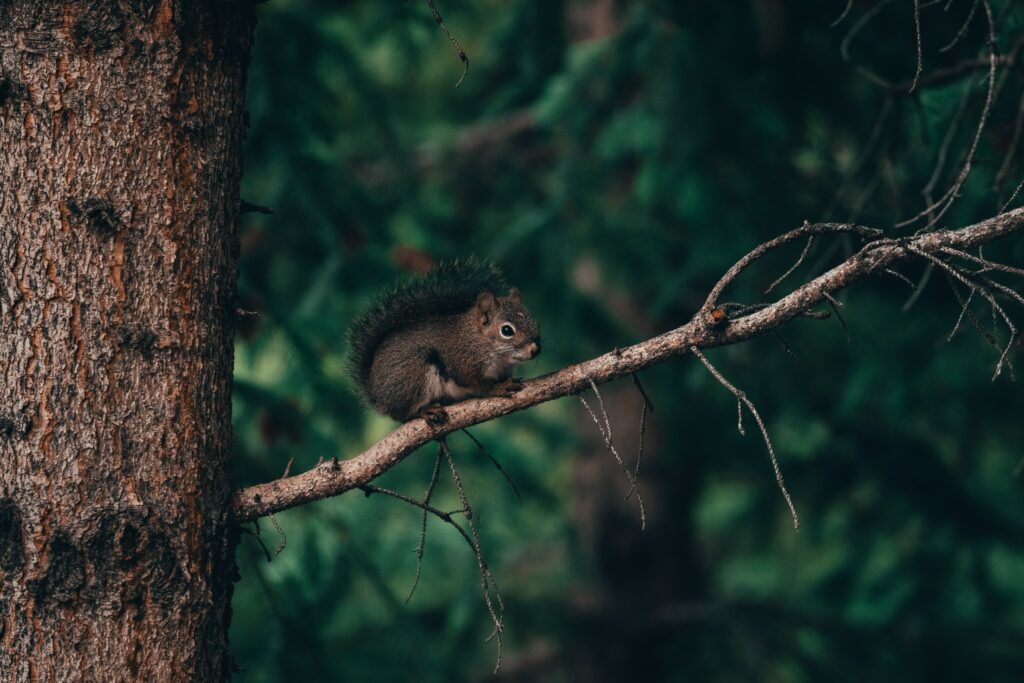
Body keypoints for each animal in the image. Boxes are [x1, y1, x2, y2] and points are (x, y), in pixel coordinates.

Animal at [347, 258, 541, 424]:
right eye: (507, 330)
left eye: (534, 321)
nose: (535, 350)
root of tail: (375, 393)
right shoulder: (464, 360)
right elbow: (476, 383)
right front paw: (497, 388)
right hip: (413, 374)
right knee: (403, 414)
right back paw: (425, 411)